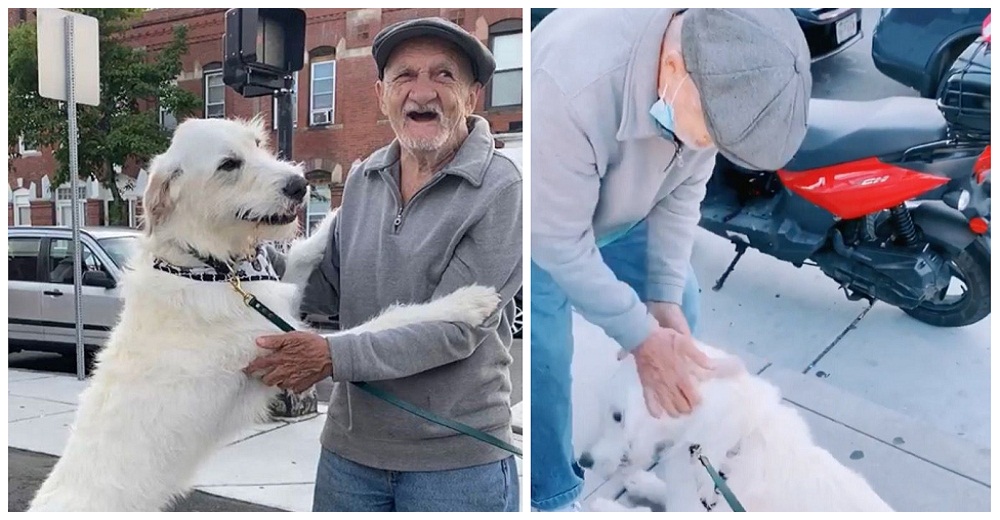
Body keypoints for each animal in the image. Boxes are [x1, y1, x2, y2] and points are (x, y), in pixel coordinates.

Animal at [29, 118, 500, 512]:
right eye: (228, 165)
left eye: (257, 145)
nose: (299, 185)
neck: (211, 269)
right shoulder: (291, 344)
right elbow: (388, 321)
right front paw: (466, 301)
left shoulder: (279, 303)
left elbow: (304, 253)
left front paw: (334, 214)